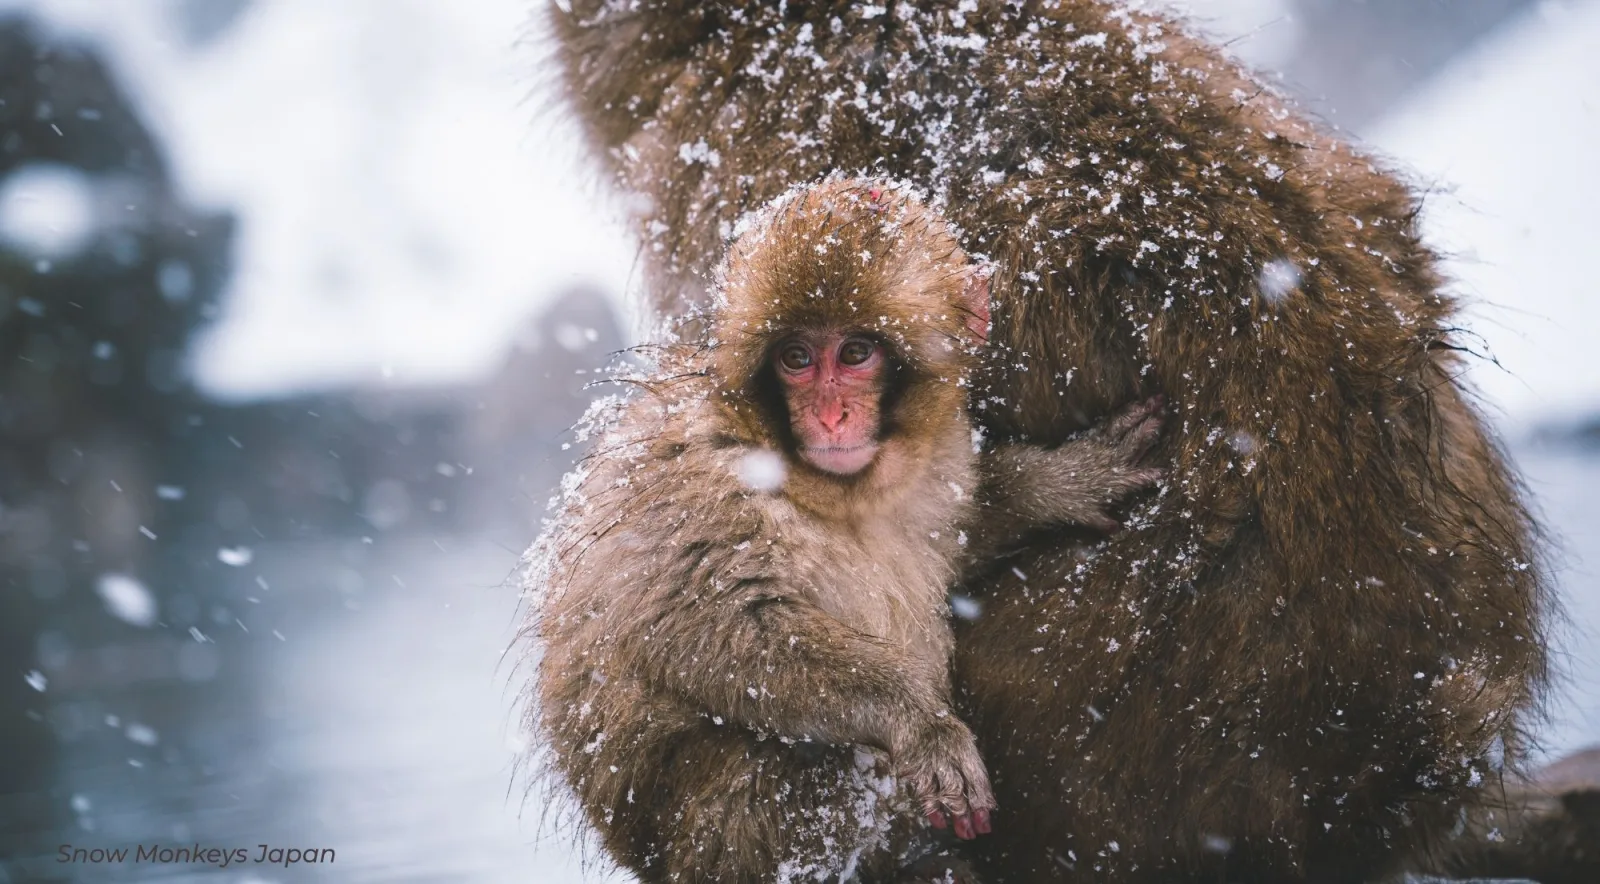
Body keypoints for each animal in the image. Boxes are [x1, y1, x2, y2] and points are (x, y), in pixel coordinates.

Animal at [527, 179, 1165, 883]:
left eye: (856, 353)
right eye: (796, 359)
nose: (831, 415)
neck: (838, 494)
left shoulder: (939, 466)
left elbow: (964, 533)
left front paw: (1061, 481)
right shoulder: (702, 485)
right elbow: (701, 627)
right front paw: (920, 722)